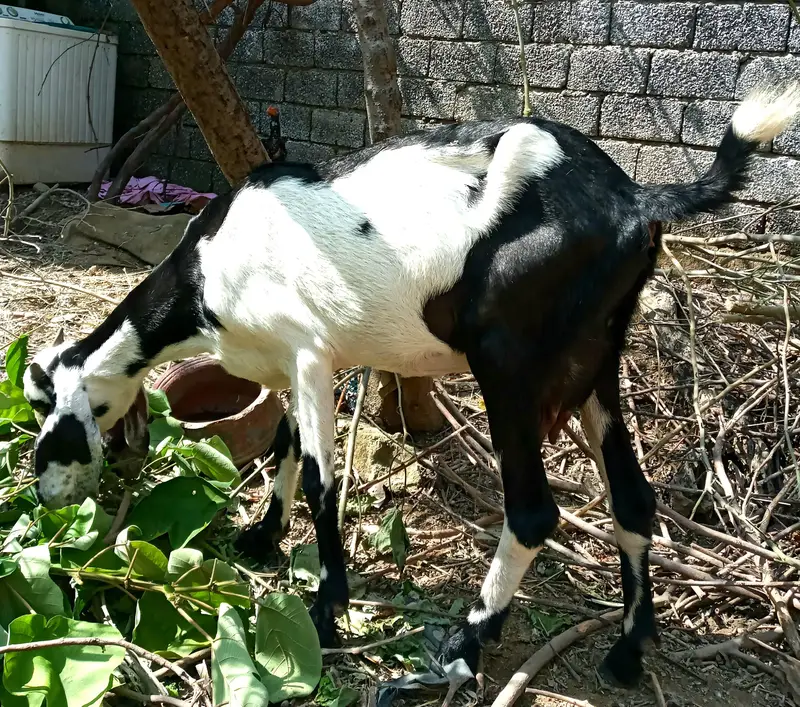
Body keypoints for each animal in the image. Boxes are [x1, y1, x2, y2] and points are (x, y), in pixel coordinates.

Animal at [23, 84, 800, 686]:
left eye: (46, 421)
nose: (48, 498)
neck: (206, 273)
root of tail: (634, 197)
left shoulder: (309, 353)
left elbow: (319, 479)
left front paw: (326, 609)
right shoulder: (289, 363)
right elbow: (282, 447)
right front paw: (260, 539)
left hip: (509, 360)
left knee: (533, 511)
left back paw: (470, 637)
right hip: (595, 360)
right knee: (633, 499)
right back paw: (628, 651)